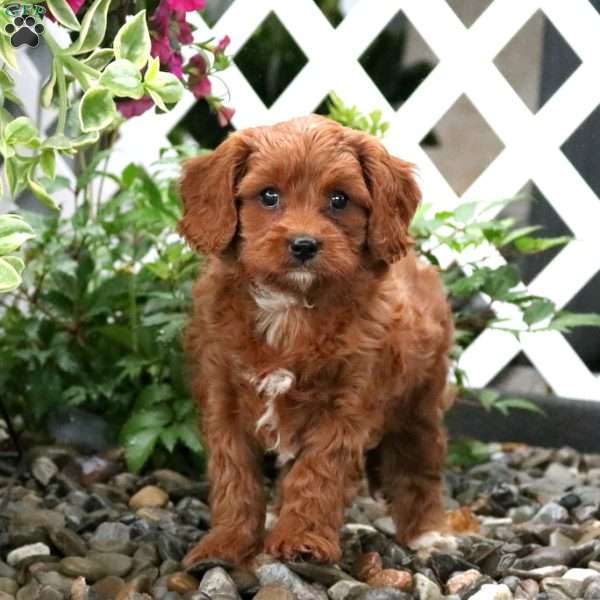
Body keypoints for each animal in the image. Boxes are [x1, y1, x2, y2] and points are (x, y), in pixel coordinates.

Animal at [180, 115, 452, 564]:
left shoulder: (346, 404)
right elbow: (235, 475)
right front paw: (226, 543)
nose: (304, 245)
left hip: (420, 401)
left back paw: (427, 534)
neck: (290, 306)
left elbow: (318, 473)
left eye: (339, 199)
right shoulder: (222, 396)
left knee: (418, 462)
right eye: (269, 195)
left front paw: (302, 540)